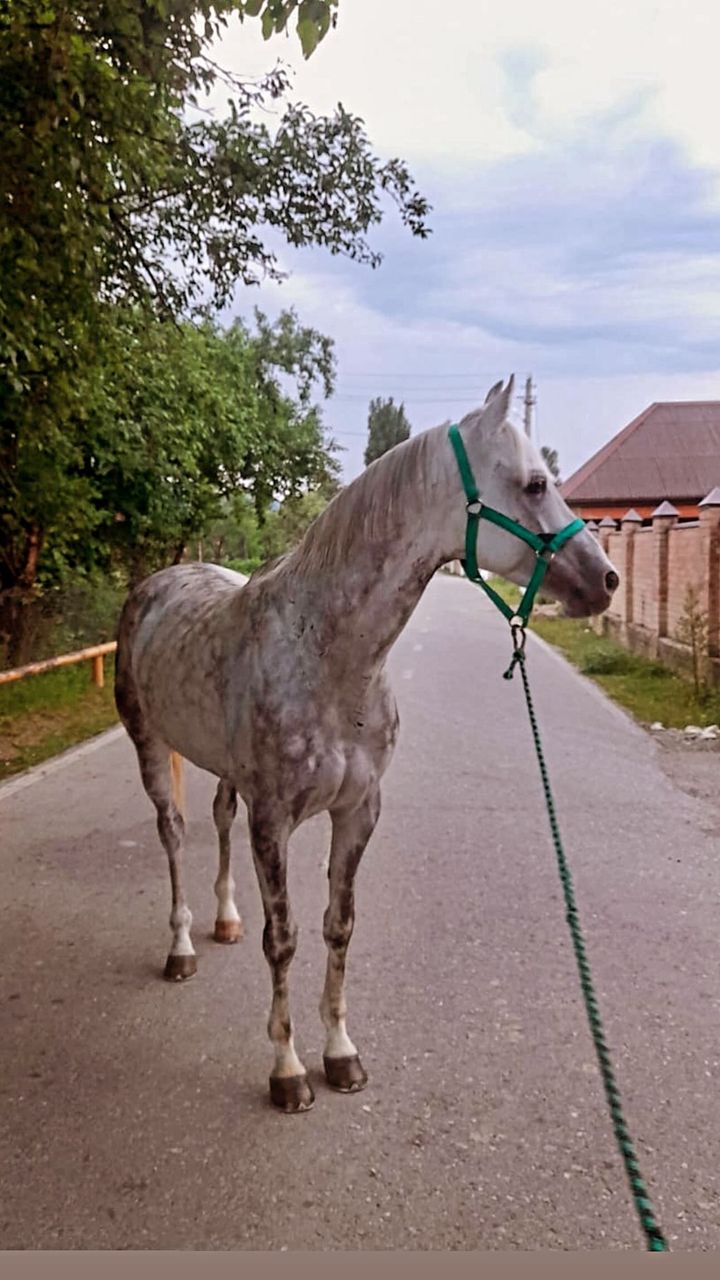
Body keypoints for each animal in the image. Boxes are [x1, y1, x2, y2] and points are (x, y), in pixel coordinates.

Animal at [113, 376, 617, 1111]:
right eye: (533, 484)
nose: (605, 580)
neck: (328, 657)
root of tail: (156, 584)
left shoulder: (358, 812)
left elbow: (338, 926)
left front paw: (341, 1054)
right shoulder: (275, 822)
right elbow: (284, 939)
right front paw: (288, 1070)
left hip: (226, 773)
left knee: (218, 819)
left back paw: (225, 919)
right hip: (149, 745)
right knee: (174, 833)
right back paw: (181, 948)